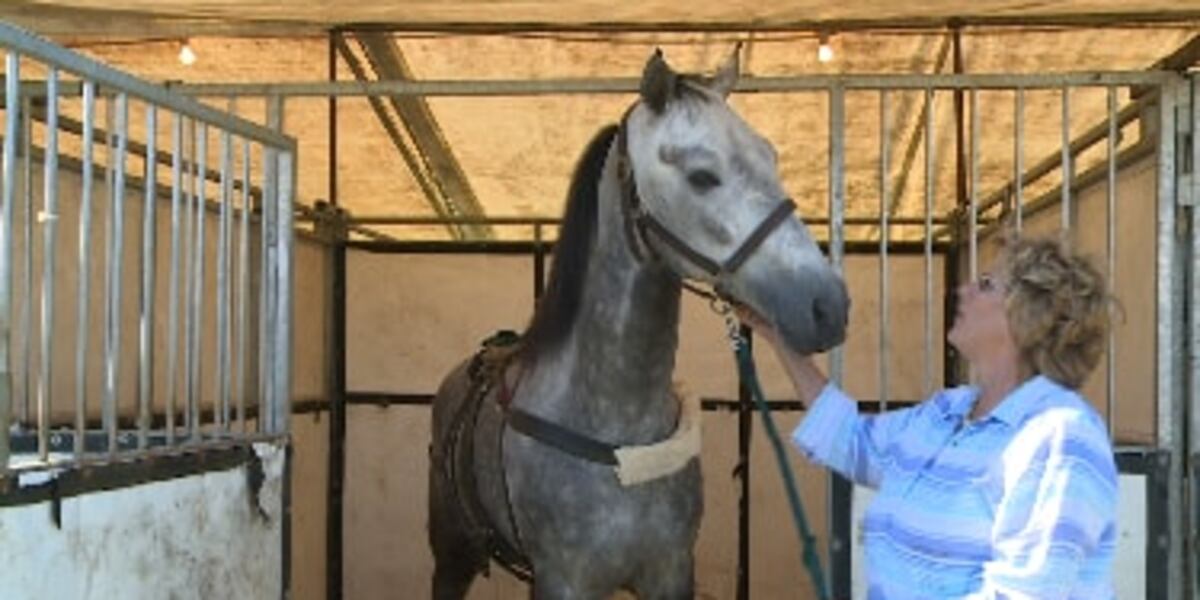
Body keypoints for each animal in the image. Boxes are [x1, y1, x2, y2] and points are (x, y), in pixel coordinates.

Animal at [427, 46, 849, 599]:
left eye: (770, 157)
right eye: (701, 176)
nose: (828, 306)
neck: (617, 433)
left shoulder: (669, 572)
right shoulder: (563, 580)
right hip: (451, 555)